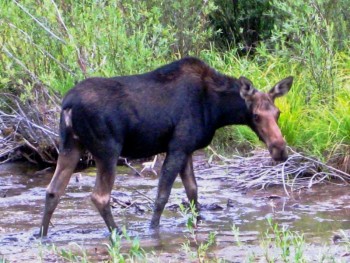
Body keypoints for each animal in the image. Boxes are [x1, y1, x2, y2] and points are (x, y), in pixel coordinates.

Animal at [39, 56, 294, 237]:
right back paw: (118, 232)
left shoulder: (188, 149)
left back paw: (42, 235)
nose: (280, 149)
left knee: (53, 190)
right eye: (255, 116)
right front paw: (153, 230)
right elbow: (163, 195)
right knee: (99, 196)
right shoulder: (177, 147)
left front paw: (199, 221)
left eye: (278, 113)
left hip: (70, 145)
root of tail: (68, 105)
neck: (217, 110)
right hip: (107, 150)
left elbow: (192, 191)